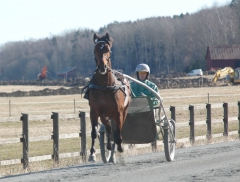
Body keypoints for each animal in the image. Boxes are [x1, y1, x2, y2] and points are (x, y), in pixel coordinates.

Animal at [88, 32, 131, 162]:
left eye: (108, 49)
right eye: (95, 49)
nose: (102, 67)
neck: (104, 86)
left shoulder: (118, 113)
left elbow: (117, 133)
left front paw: (119, 148)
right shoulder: (94, 111)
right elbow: (94, 132)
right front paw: (92, 154)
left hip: (123, 112)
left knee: (116, 131)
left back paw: (114, 152)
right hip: (104, 115)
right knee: (108, 128)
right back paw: (108, 147)